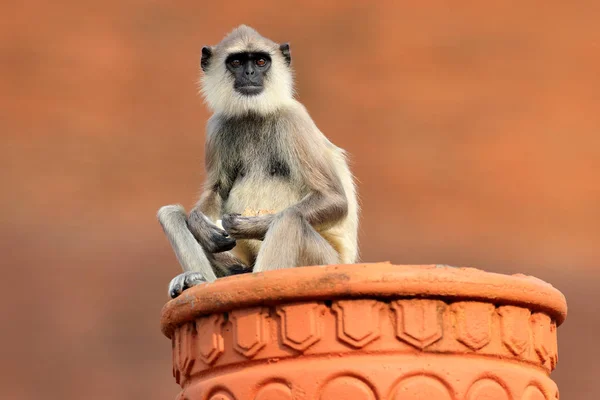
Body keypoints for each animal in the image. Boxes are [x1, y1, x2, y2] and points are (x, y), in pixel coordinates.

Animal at [157, 25, 358, 298]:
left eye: (261, 61)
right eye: (237, 62)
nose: (250, 73)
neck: (254, 114)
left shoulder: (294, 120)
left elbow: (333, 198)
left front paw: (249, 226)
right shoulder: (217, 126)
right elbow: (216, 190)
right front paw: (200, 225)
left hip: (326, 262)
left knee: (289, 219)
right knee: (170, 213)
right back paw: (198, 281)